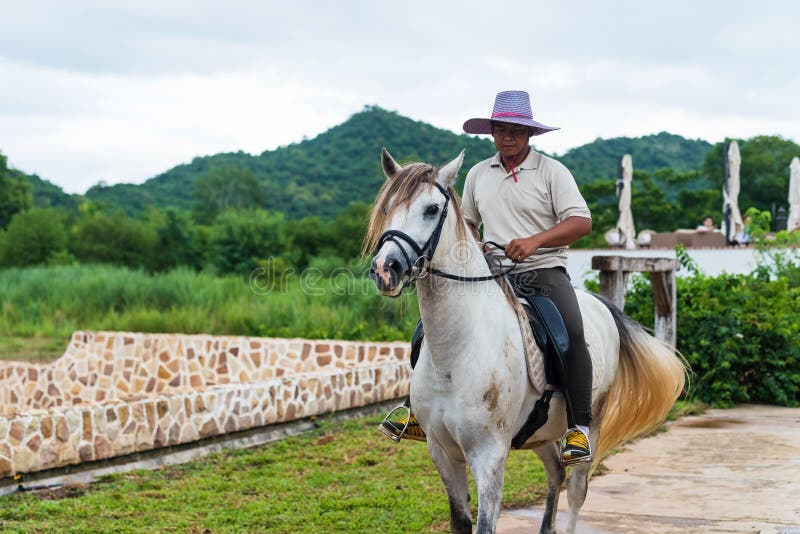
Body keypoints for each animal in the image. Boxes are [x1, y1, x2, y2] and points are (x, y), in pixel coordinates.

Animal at [366, 150, 684, 534]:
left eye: (431, 209)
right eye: (386, 208)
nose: (385, 269)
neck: (456, 352)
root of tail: (599, 304)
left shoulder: (488, 455)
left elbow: (485, 525)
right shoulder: (442, 452)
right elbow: (460, 522)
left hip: (591, 423)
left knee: (576, 489)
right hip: (540, 433)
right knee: (555, 472)